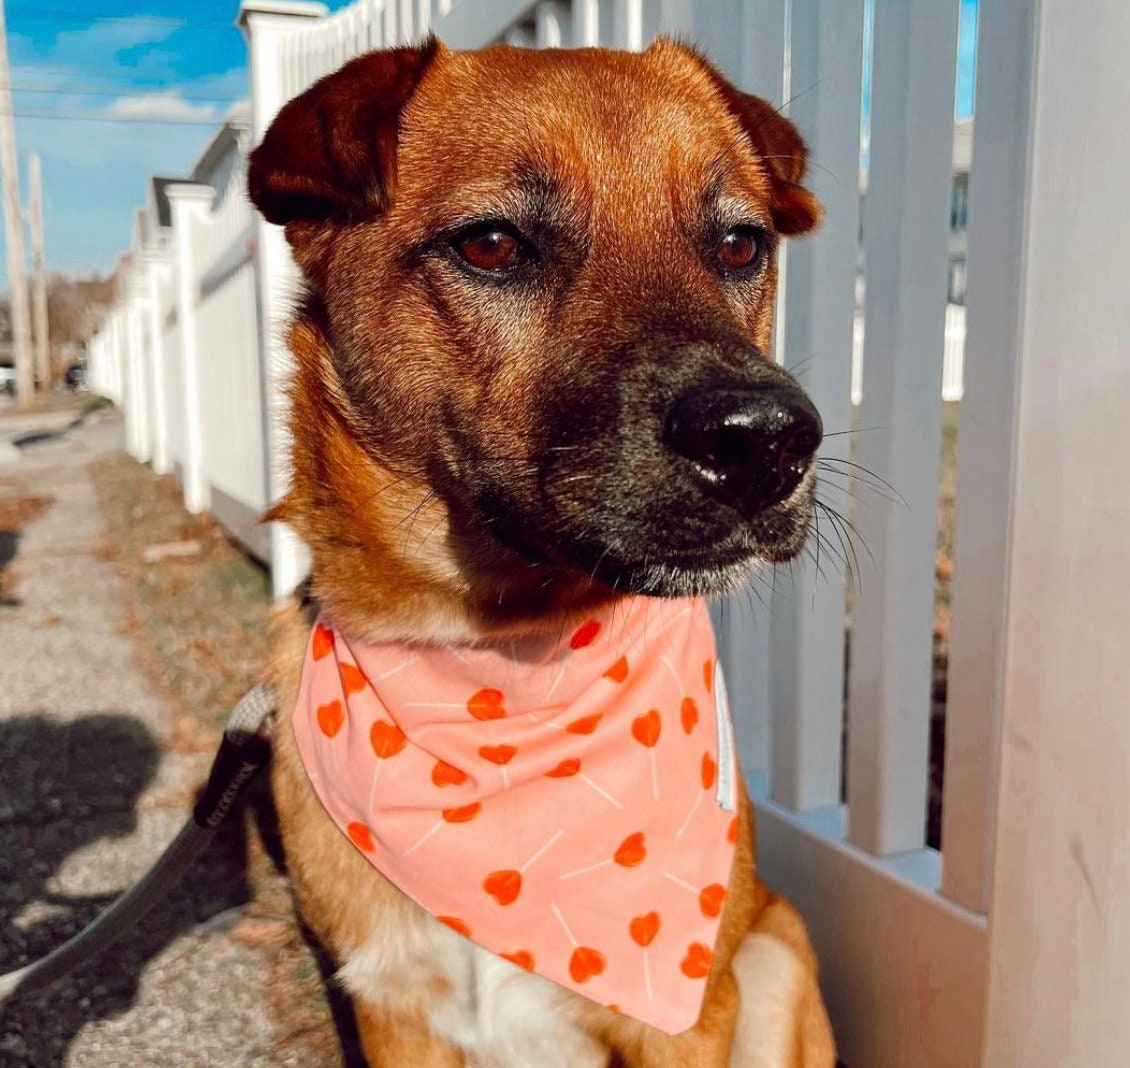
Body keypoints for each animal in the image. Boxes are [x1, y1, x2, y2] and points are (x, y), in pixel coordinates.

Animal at [251, 37, 836, 1066]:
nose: (765, 441)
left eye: (738, 245)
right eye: (491, 245)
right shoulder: (397, 1011)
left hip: (776, 956)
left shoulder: (688, 1019)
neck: (502, 674)